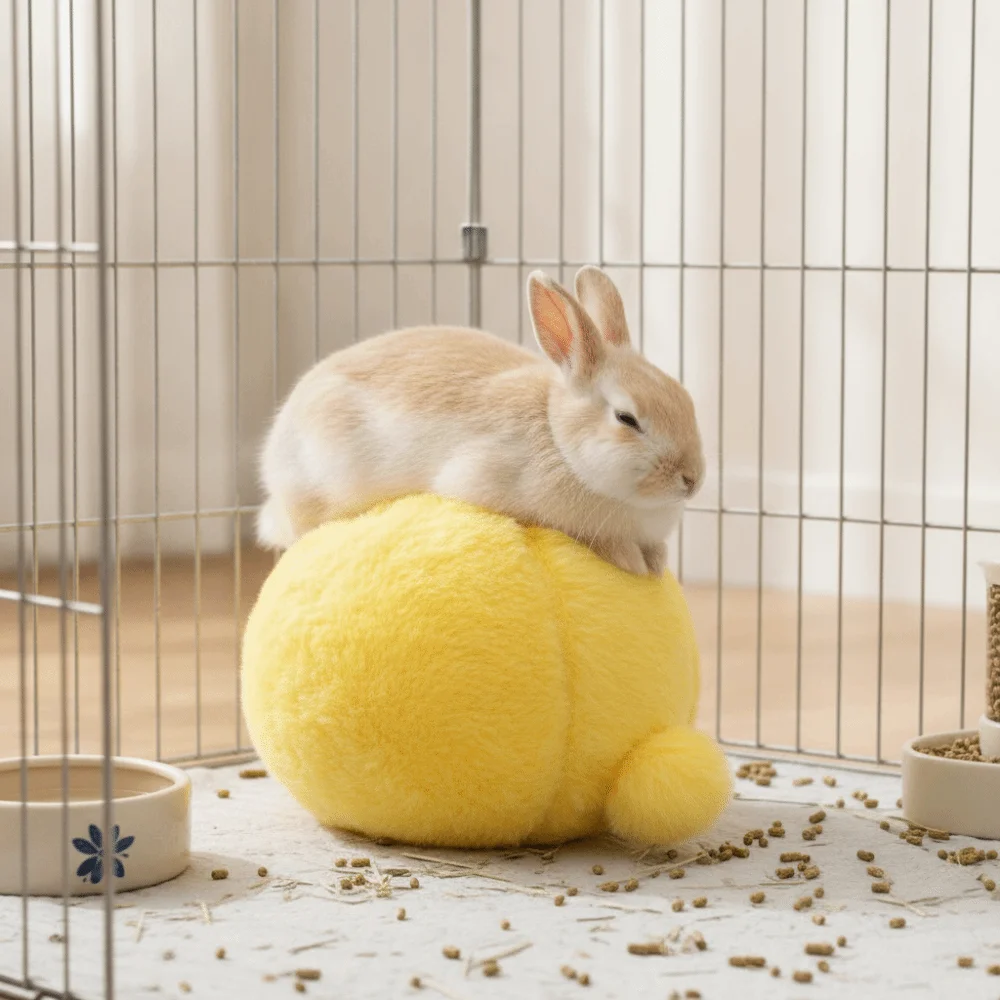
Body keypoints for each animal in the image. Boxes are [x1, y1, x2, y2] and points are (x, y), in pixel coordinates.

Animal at [256, 266, 705, 577]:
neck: (559, 438)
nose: (692, 479)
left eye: (686, 398)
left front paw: (658, 562)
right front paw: (631, 560)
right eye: (627, 418)